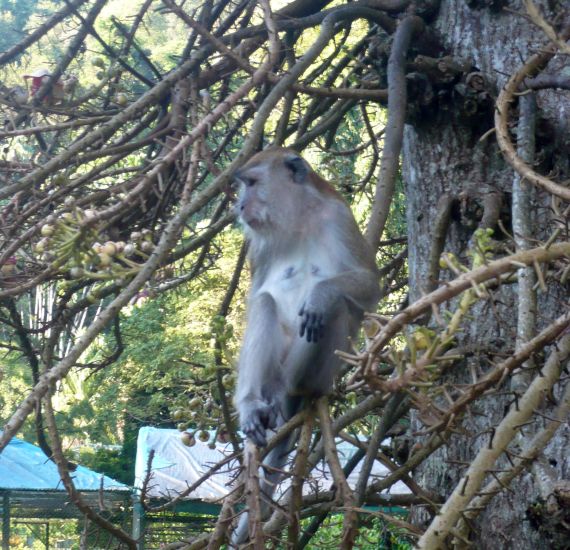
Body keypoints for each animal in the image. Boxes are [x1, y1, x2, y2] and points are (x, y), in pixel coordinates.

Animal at [229, 148, 380, 548]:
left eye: (252, 183)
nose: (239, 206)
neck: (298, 218)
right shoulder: (259, 246)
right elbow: (256, 299)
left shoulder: (339, 218)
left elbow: (368, 285)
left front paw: (321, 294)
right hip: (271, 373)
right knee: (265, 304)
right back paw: (258, 406)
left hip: (321, 371)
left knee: (332, 312)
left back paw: (295, 391)